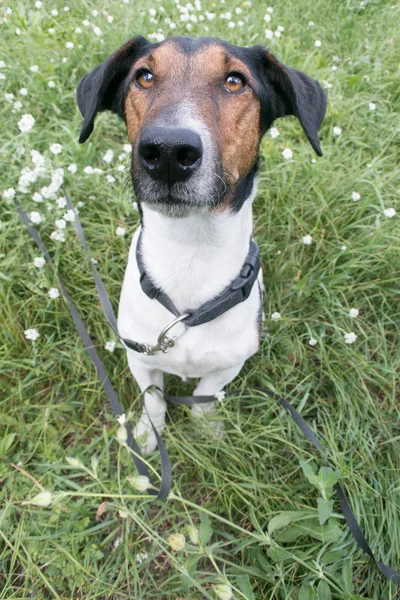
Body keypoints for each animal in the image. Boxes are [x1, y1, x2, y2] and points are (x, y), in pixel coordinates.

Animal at [76, 35, 326, 452]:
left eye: (235, 81)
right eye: (143, 76)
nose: (167, 151)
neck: (190, 251)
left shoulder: (230, 362)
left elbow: (204, 395)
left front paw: (206, 430)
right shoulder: (141, 357)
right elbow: (154, 400)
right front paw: (150, 436)